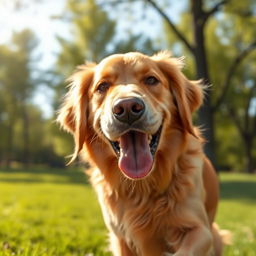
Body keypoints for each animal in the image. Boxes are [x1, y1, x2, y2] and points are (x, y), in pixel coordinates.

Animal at [57, 52, 225, 256]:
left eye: (151, 80)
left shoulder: (200, 230)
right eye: (102, 86)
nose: (127, 108)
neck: (142, 187)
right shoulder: (119, 237)